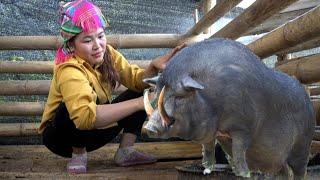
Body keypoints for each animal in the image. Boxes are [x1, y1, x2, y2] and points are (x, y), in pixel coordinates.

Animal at [142, 38, 316, 179]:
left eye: (179, 96)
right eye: (157, 91)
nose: (149, 127)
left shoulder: (243, 127)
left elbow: (239, 149)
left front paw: (244, 174)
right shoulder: (212, 133)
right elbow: (208, 147)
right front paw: (206, 169)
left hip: (302, 145)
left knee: (300, 171)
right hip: (280, 159)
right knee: (284, 171)